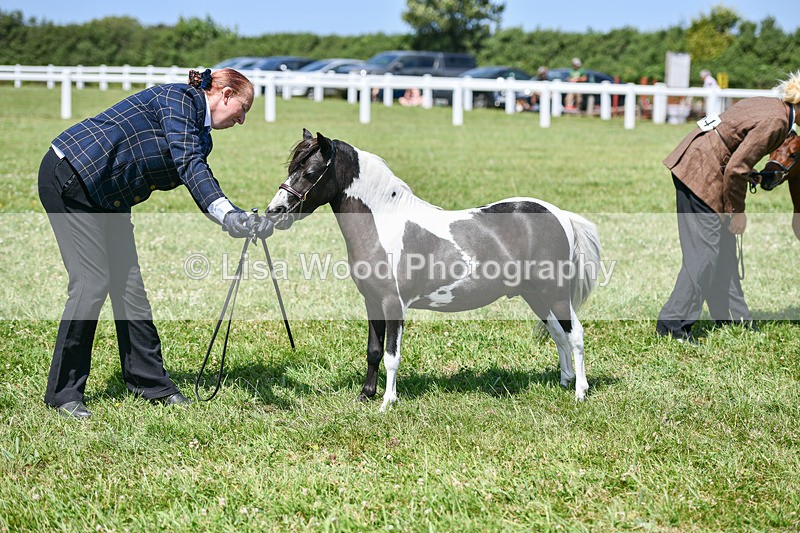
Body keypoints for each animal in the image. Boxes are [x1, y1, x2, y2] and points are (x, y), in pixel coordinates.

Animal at [266, 130, 602, 410]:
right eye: (290, 169)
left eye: (310, 172)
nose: (274, 211)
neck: (384, 222)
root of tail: (560, 214)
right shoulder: (372, 301)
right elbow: (373, 351)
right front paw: (364, 395)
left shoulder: (393, 304)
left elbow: (391, 356)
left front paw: (387, 402)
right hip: (534, 295)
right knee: (558, 334)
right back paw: (564, 382)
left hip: (555, 293)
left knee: (575, 334)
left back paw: (580, 392)